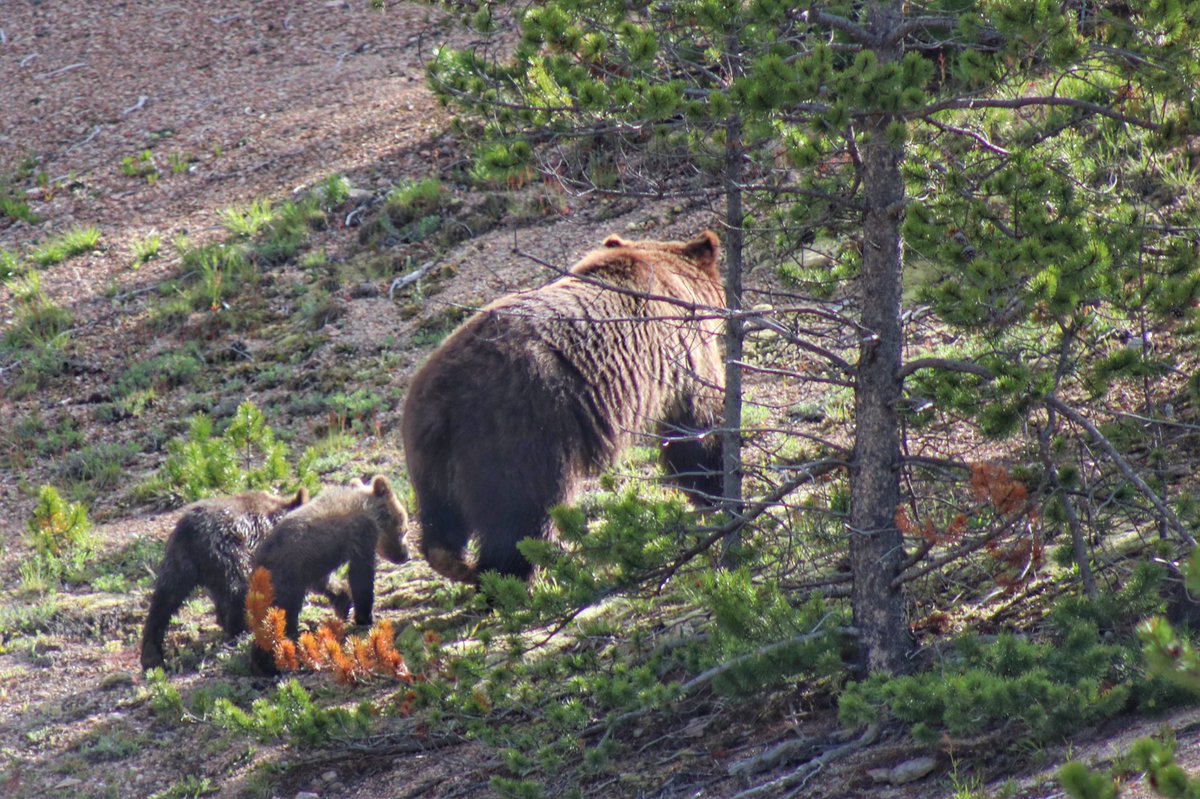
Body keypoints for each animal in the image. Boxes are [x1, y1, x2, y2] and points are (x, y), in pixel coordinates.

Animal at [140, 488, 309, 671]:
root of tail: (190, 535)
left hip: (178, 562)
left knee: (164, 600)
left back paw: (151, 655)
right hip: (227, 551)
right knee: (237, 588)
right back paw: (242, 628)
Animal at [248, 474, 409, 674]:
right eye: (404, 529)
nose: (407, 555)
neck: (368, 508)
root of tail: (258, 564)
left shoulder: (313, 565)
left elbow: (326, 583)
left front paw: (344, 603)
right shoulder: (361, 535)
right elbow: (361, 575)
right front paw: (364, 616)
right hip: (283, 579)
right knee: (278, 616)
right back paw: (270, 661)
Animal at [402, 230, 725, 584]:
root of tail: (443, 399)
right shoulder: (683, 353)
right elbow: (696, 428)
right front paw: (715, 487)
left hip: (428, 454)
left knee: (441, 516)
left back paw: (452, 561)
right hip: (521, 434)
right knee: (525, 513)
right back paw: (512, 575)